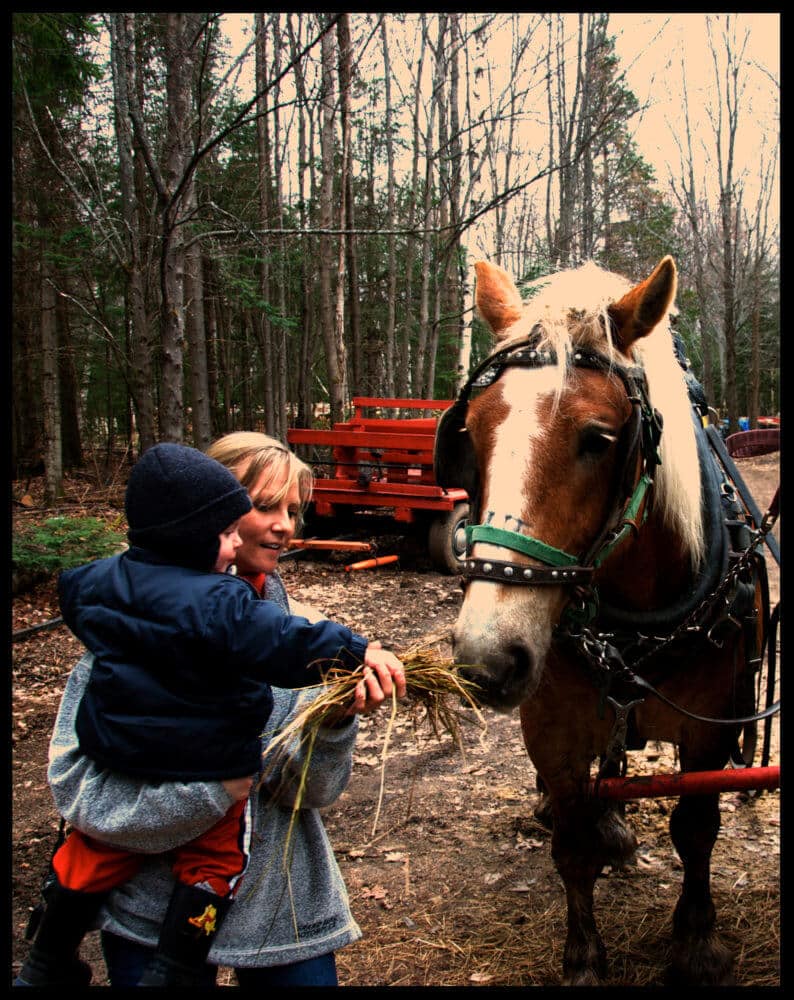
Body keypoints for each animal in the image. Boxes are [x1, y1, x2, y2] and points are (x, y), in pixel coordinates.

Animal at [435, 257, 771, 985]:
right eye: (469, 432)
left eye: (598, 439)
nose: (488, 658)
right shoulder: (553, 730)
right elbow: (571, 843)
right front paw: (584, 957)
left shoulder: (711, 730)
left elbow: (695, 830)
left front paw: (695, 940)